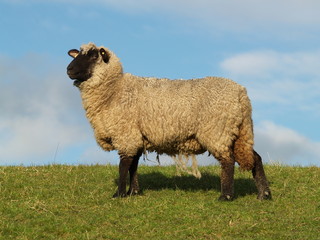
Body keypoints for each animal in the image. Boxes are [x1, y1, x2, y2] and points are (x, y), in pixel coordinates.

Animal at [66, 42, 272, 201]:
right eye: (78, 54)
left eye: (94, 56)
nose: (69, 69)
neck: (114, 90)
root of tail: (241, 94)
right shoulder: (136, 136)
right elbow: (133, 166)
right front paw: (134, 192)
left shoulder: (126, 134)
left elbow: (123, 166)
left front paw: (119, 194)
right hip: (237, 131)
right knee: (255, 158)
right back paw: (264, 194)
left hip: (217, 131)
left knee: (228, 162)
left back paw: (226, 196)